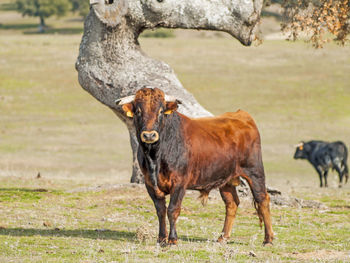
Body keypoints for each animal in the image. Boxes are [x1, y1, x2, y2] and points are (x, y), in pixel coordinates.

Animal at [116, 88, 274, 245]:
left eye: (161, 111)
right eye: (138, 111)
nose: (149, 135)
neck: (155, 156)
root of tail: (241, 115)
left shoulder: (179, 182)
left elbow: (172, 209)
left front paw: (172, 239)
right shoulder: (150, 183)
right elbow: (160, 210)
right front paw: (161, 239)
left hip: (255, 172)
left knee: (262, 199)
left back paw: (268, 239)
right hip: (226, 179)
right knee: (232, 203)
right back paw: (223, 237)